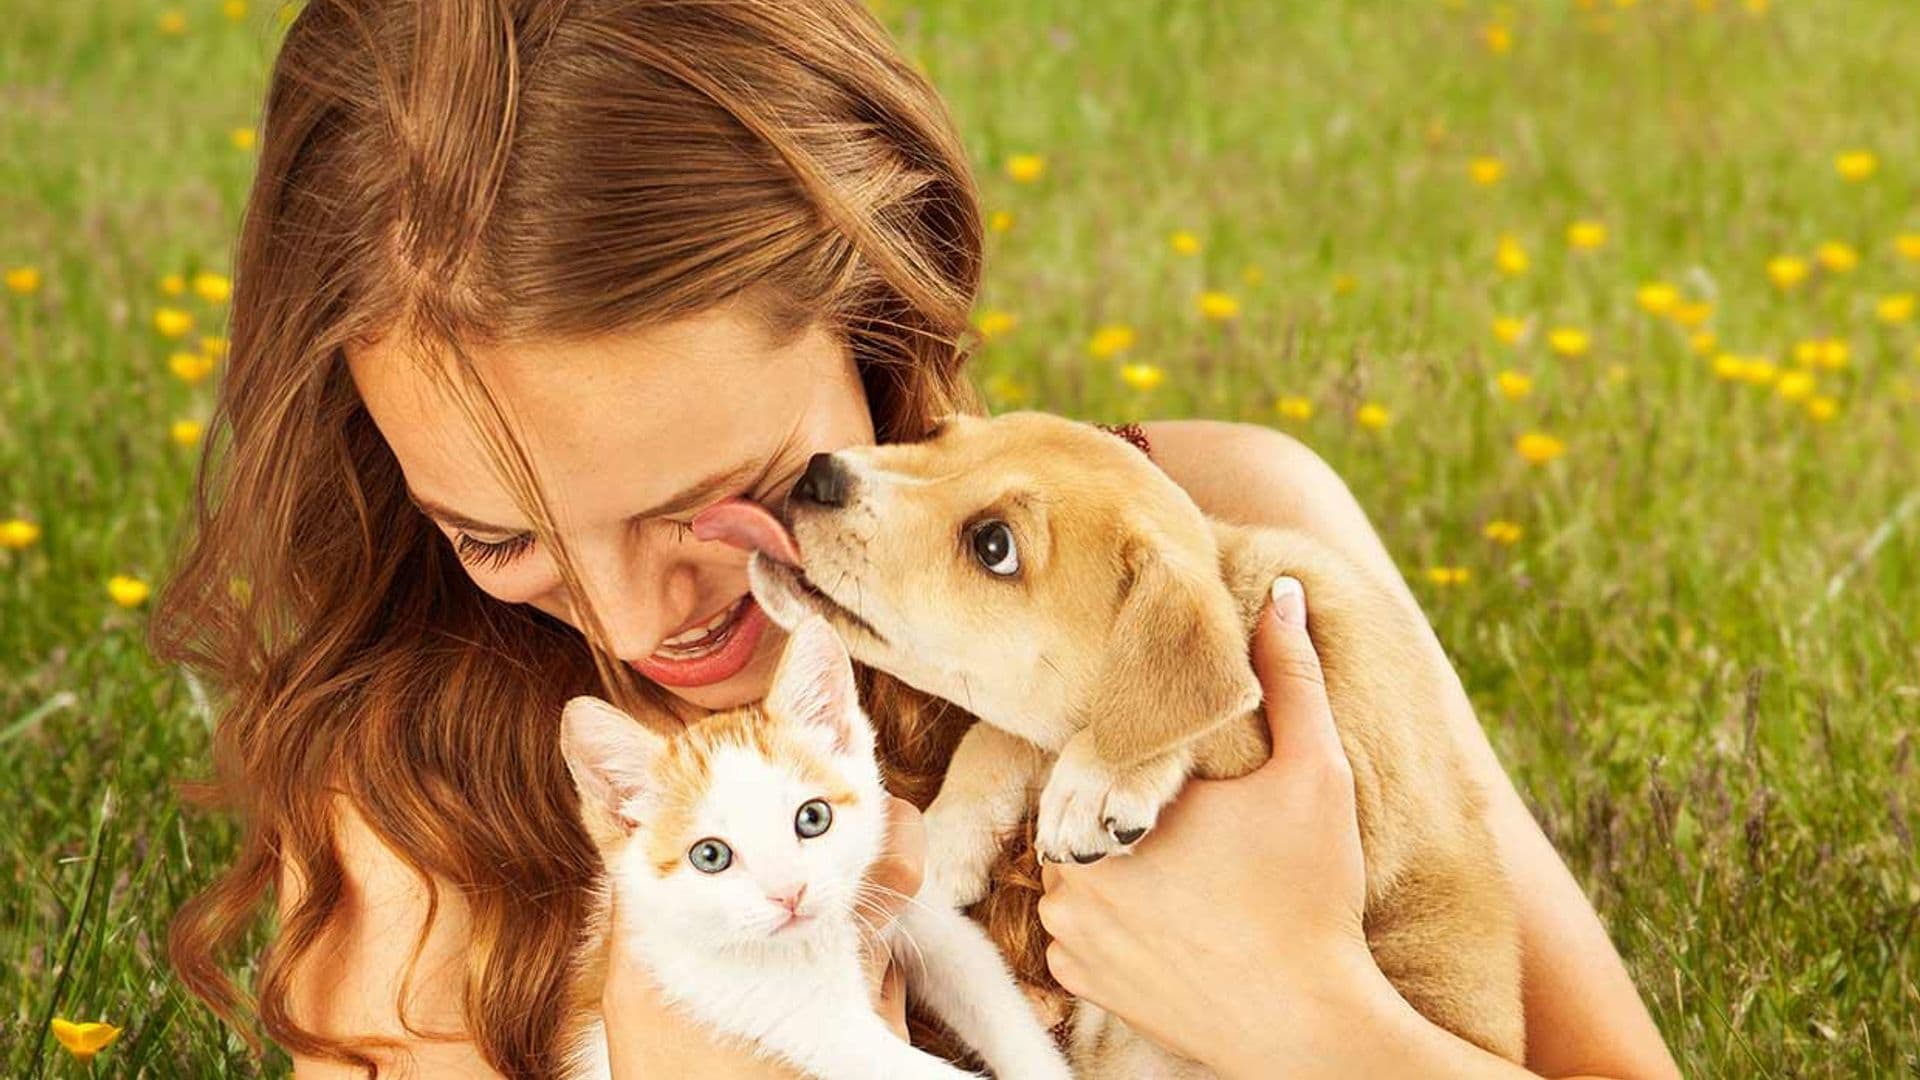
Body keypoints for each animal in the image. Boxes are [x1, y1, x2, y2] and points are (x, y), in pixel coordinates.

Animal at [556, 614, 1075, 1076]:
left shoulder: (915, 909)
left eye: (813, 818)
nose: (789, 894)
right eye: (710, 856)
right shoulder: (775, 1008)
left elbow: (992, 996)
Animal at [706, 407, 1528, 1060]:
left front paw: (1100, 779)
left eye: (994, 545)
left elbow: (1184, 715)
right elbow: (1003, 734)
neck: (1236, 580)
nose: (820, 473)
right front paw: (947, 839)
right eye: (941, 436)